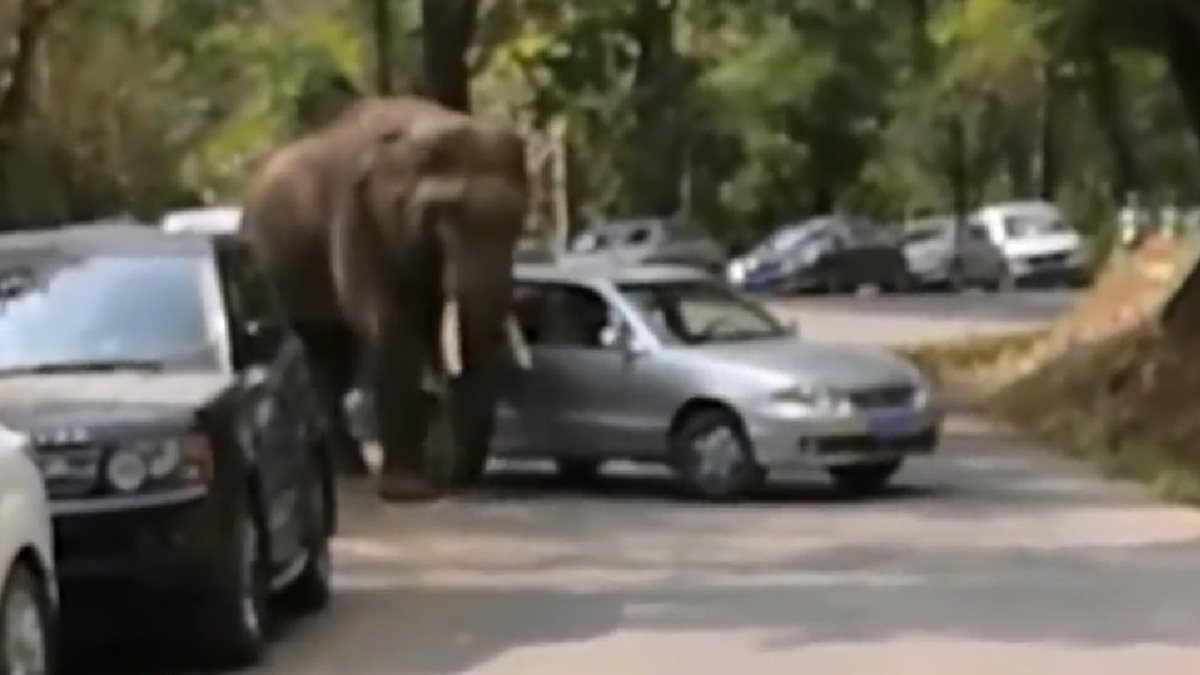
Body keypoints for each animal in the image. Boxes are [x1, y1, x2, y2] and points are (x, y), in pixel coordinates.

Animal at [238, 95, 532, 501]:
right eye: (442, 215)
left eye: (520, 221)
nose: (456, 481)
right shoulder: (356, 213)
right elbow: (388, 319)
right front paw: (409, 492)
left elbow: (427, 317)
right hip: (280, 271)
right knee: (324, 350)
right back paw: (350, 470)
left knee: (339, 358)